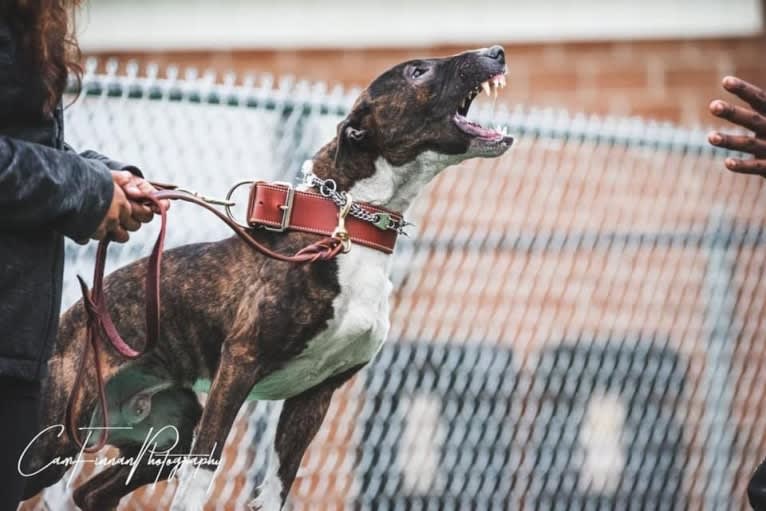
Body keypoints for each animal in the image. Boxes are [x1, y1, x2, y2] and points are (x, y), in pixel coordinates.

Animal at [22, 46, 516, 510]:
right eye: (418, 71)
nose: (496, 52)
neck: (345, 227)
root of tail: (76, 313)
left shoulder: (315, 395)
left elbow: (279, 483)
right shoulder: (239, 365)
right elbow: (203, 473)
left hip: (166, 432)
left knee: (92, 493)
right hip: (58, 434)